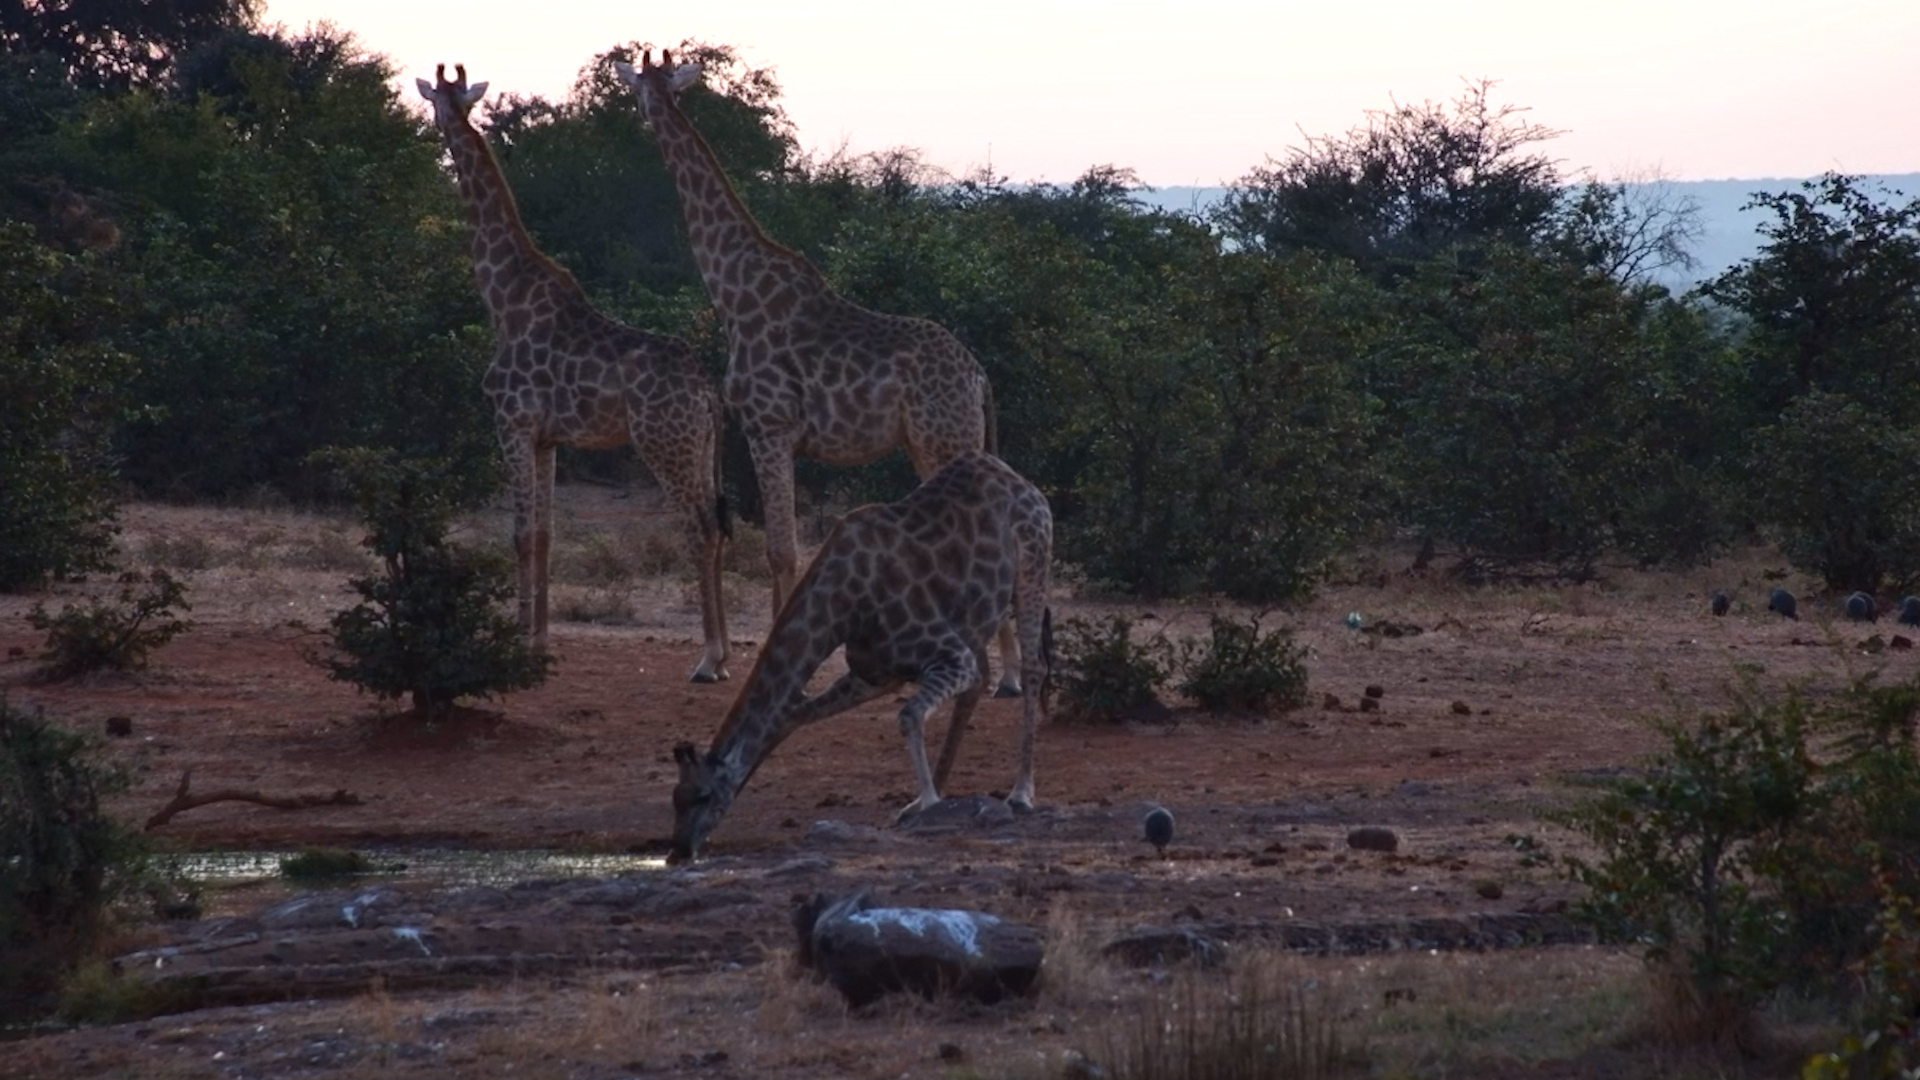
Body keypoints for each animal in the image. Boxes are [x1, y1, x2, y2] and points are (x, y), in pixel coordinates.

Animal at [416, 64, 732, 682]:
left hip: (666, 444)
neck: (503, 298)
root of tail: (706, 390)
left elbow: (519, 535)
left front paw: (515, 645)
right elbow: (544, 534)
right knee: (716, 523)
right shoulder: (548, 438)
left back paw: (708, 659)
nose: (437, 128)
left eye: (440, 102)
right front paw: (539, 644)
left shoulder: (511, 424)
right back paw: (725, 654)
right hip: (703, 446)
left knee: (702, 528)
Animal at [613, 49, 1026, 698]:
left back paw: (1003, 676)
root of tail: (978, 375)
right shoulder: (771, 434)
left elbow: (781, 551)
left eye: (643, 88)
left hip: (946, 440)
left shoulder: (768, 426)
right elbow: (781, 548)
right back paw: (995, 671)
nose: (643, 113)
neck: (734, 291)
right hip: (934, 443)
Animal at [666, 450, 1052, 864]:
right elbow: (793, 716)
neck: (843, 607)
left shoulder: (948, 655)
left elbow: (908, 715)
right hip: (975, 618)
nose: (678, 853)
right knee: (979, 682)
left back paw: (1020, 793)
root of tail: (1019, 480)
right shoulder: (874, 674)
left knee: (1032, 670)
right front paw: (926, 799)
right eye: (675, 798)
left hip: (1032, 567)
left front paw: (929, 801)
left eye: (704, 795)